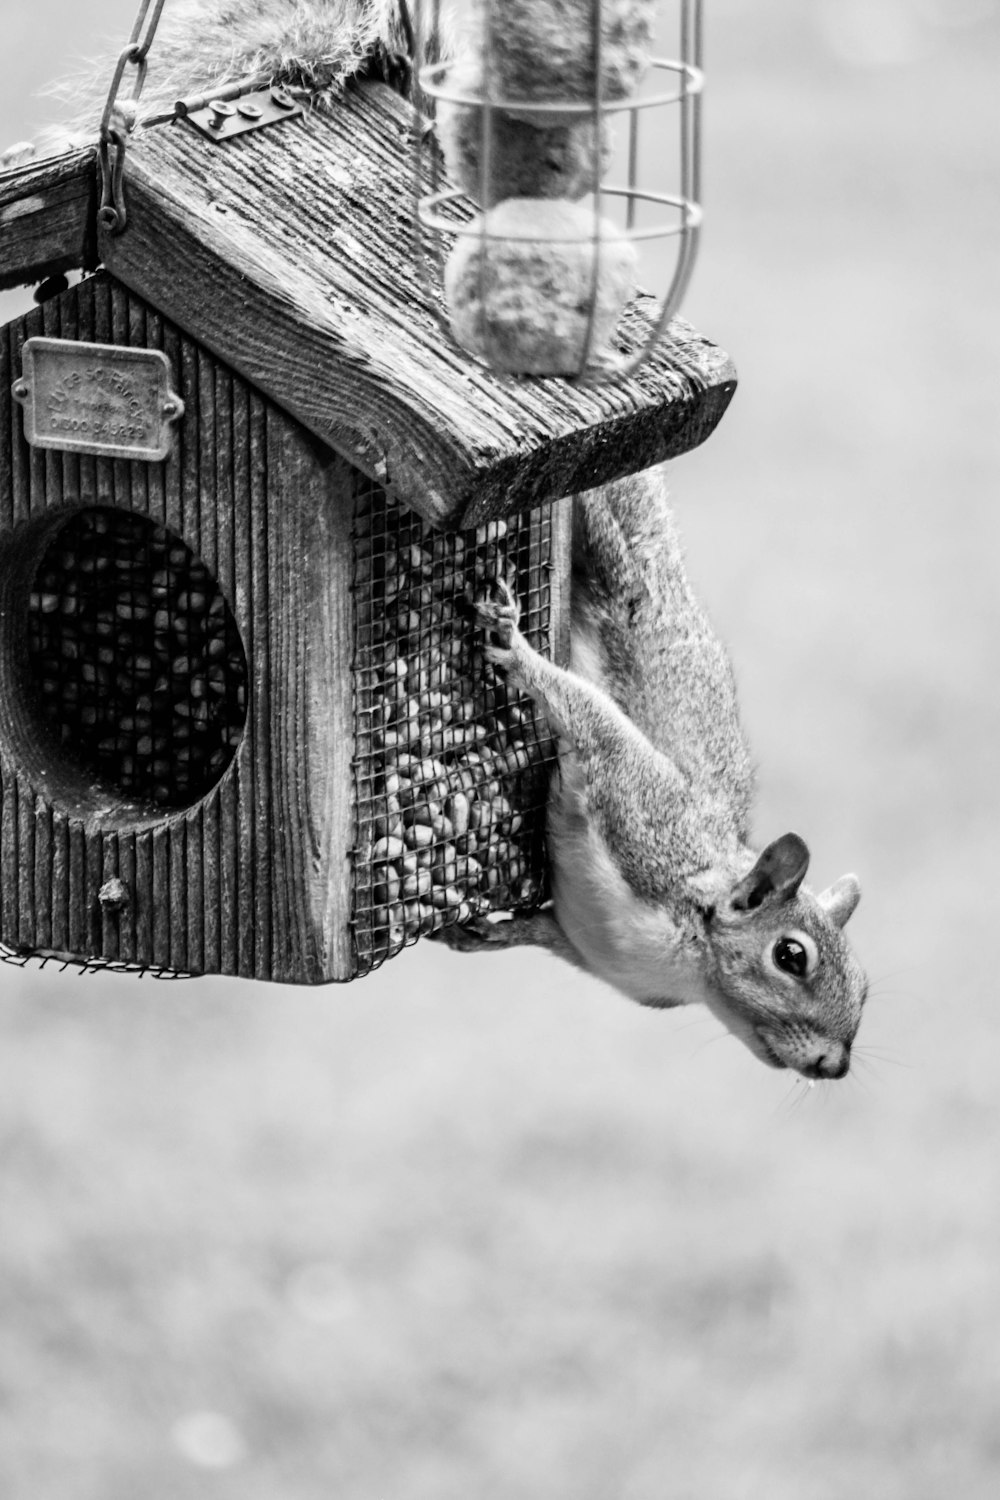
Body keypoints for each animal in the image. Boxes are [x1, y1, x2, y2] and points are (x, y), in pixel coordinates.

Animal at [440, 468, 869, 1080]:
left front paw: (483, 933)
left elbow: (535, 932)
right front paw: (517, 650)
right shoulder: (643, 811)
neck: (689, 964)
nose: (835, 1066)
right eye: (791, 956)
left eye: (863, 987)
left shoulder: (582, 943)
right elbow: (597, 723)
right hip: (615, 567)